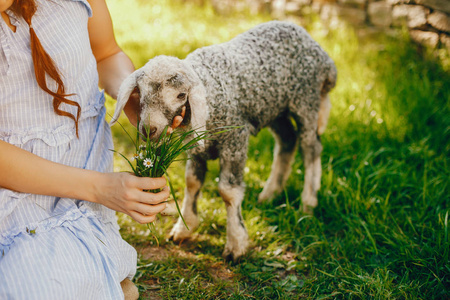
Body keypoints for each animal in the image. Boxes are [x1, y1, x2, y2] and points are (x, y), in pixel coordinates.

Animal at [111, 20, 338, 260]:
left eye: (181, 95)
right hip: (273, 108)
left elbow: (228, 192)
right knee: (288, 139)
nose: (148, 130)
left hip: (306, 102)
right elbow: (192, 182)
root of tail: (323, 57)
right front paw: (184, 228)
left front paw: (236, 244)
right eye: (140, 91)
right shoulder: (196, 147)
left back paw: (308, 202)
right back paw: (270, 193)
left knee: (311, 147)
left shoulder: (235, 139)